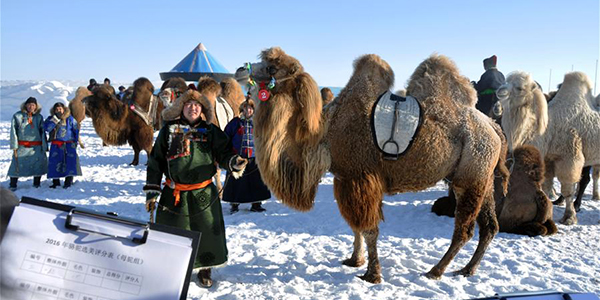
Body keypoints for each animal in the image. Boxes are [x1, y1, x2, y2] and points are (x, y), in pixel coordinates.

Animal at [234, 47, 502, 284]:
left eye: (272, 67)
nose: (239, 70)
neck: (325, 135)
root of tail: (492, 126)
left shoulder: (360, 177)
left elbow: (369, 229)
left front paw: (372, 274)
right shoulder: (344, 179)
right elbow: (355, 227)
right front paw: (355, 260)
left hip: (470, 175)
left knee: (465, 230)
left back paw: (436, 270)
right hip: (484, 177)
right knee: (490, 226)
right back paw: (468, 269)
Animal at [496, 71, 600, 224]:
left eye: (520, 88)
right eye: (505, 81)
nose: (500, 91)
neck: (548, 128)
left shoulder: (569, 157)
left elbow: (568, 189)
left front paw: (569, 217)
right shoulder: (548, 158)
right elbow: (546, 186)